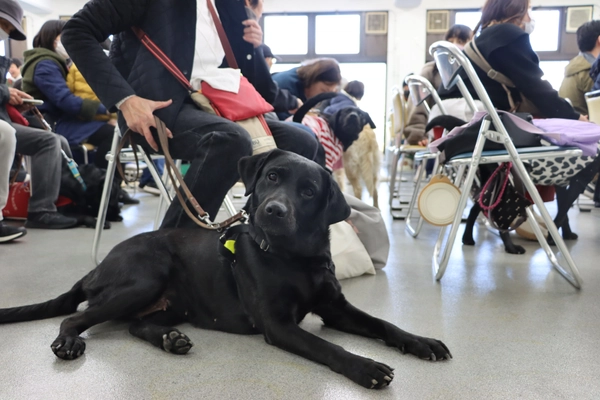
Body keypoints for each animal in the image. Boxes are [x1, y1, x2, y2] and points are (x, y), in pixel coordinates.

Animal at [0, 150, 450, 388]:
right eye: (271, 177)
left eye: (308, 192)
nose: (273, 210)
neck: (294, 259)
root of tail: (98, 267)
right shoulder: (278, 325)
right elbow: (328, 347)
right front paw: (365, 366)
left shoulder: (336, 309)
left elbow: (383, 324)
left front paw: (421, 342)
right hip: (145, 277)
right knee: (77, 317)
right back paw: (69, 341)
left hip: (170, 303)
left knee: (135, 325)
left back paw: (170, 340)